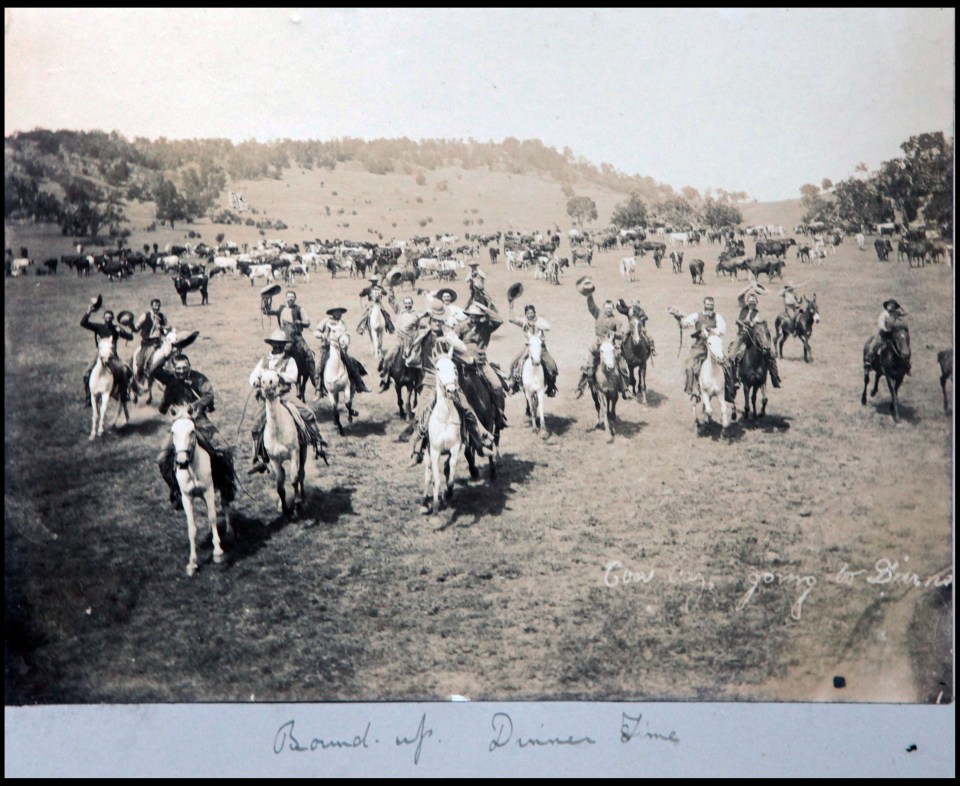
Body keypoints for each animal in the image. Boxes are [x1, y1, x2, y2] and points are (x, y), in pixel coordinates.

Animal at [169, 408, 232, 572]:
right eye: (173, 432)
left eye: (192, 431)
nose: (182, 462)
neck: (192, 469)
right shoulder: (186, 497)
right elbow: (192, 528)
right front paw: (192, 562)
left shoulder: (209, 491)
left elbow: (213, 516)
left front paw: (218, 552)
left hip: (222, 487)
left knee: (225, 505)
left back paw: (229, 531)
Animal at [258, 370, 308, 516]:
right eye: (261, 379)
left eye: (277, 376)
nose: (267, 385)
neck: (277, 430)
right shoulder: (274, 459)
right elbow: (279, 485)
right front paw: (285, 509)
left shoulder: (294, 454)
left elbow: (294, 479)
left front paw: (297, 506)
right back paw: (281, 504)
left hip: (303, 453)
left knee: (301, 474)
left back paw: (303, 500)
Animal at [422, 352, 464, 512]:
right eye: (438, 368)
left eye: (454, 367)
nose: (451, 390)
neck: (445, 418)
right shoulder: (434, 452)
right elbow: (436, 479)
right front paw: (435, 504)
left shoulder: (455, 448)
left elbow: (450, 476)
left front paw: (448, 493)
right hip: (426, 454)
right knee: (428, 475)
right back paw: (424, 501)